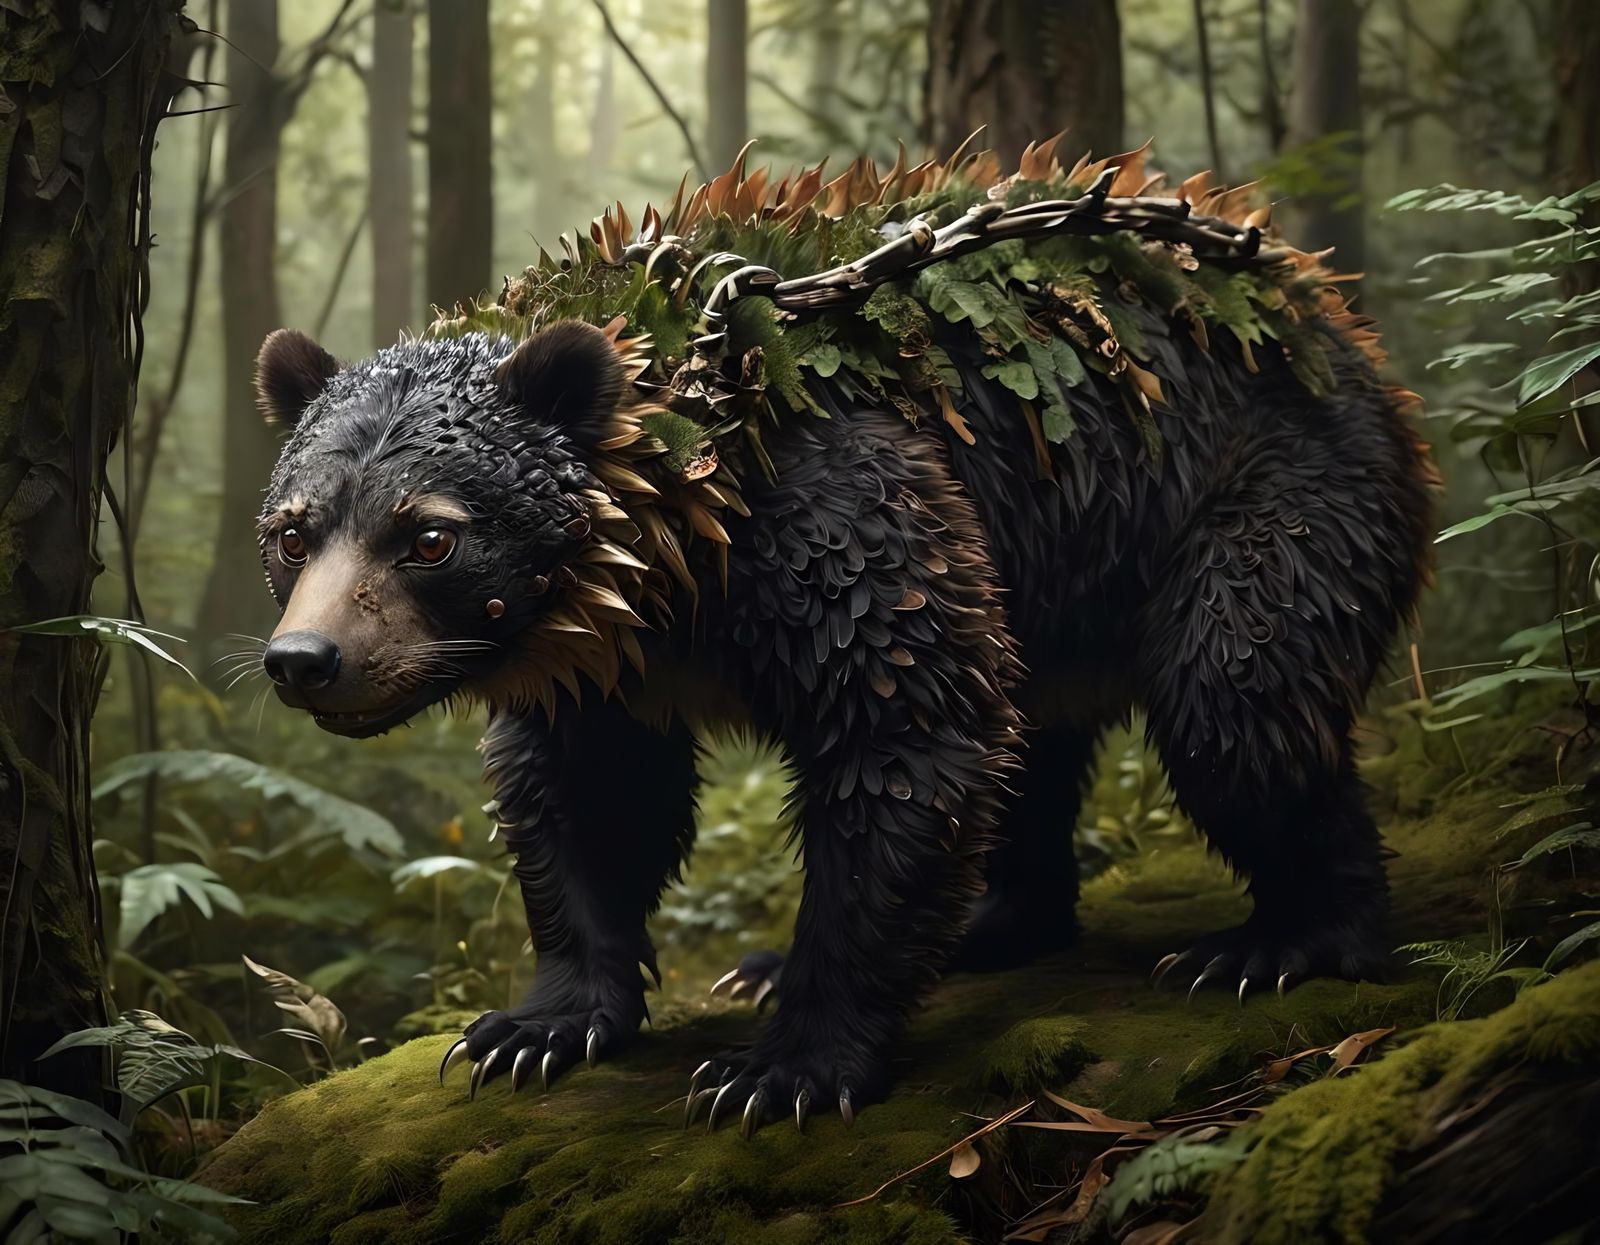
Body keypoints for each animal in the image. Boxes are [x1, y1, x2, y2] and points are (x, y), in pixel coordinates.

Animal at [251, 141, 1436, 1136]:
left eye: (430, 536)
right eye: (293, 531)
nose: (306, 661)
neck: (678, 536)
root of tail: (1322, 309)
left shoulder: (829, 508)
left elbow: (903, 735)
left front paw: (780, 1068)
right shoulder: (603, 657)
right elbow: (589, 795)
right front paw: (535, 1027)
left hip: (1259, 478)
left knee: (1234, 695)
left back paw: (1282, 941)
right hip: (1059, 594)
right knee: (1035, 746)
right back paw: (989, 922)